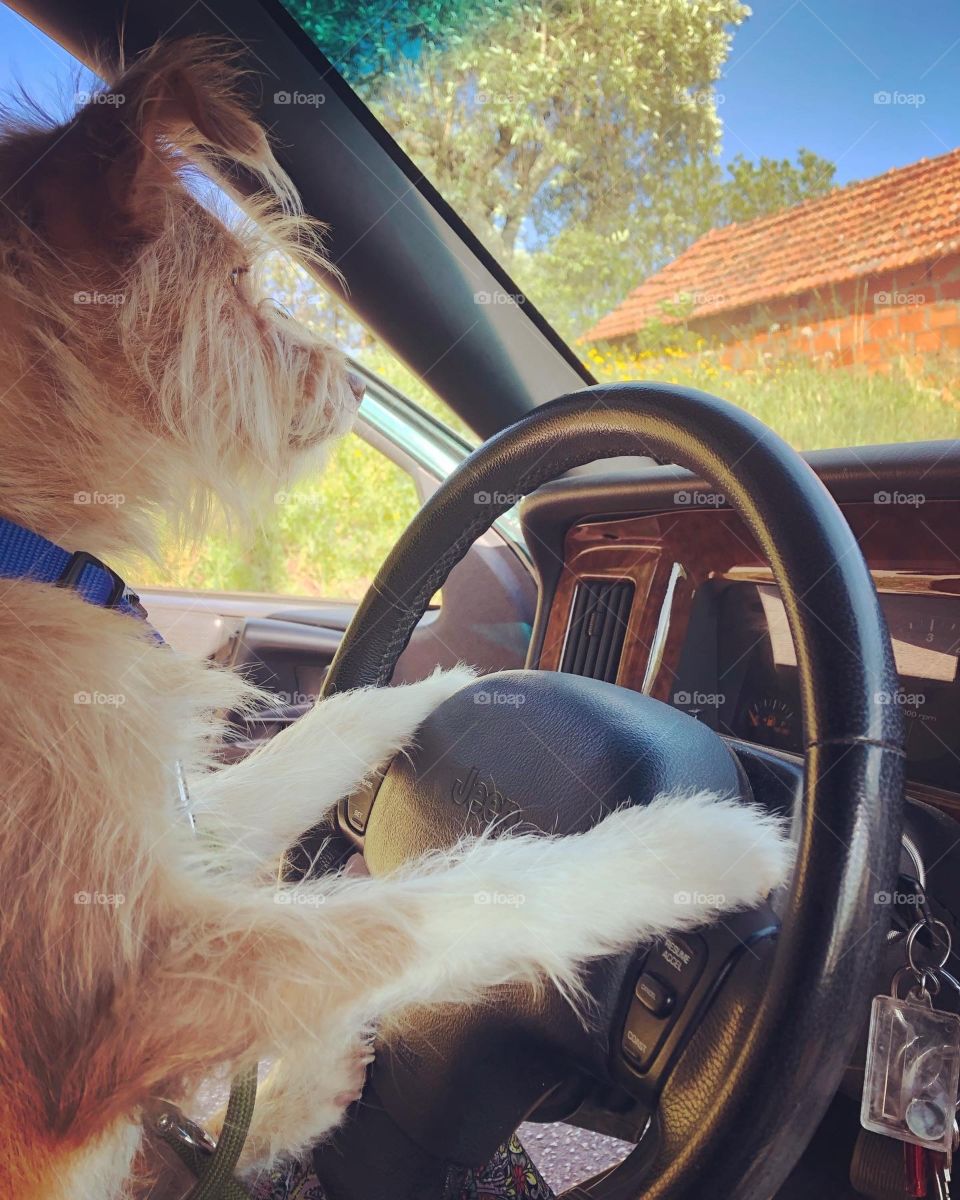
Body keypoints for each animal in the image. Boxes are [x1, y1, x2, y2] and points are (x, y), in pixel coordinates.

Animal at [0, 37, 792, 1200]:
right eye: (238, 283)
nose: (350, 381)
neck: (16, 536)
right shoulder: (137, 982)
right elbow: (442, 897)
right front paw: (688, 850)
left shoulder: (166, 826)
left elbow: (312, 747)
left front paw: (453, 683)